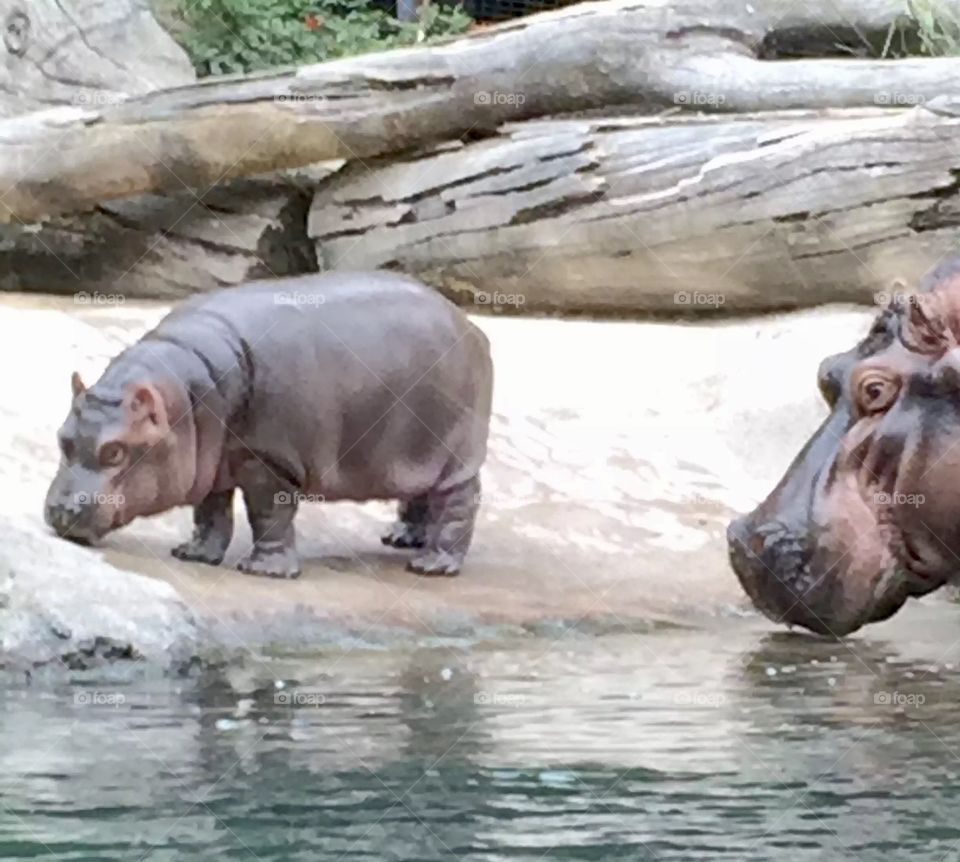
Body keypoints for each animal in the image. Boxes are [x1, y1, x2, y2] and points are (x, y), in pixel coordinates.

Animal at [44, 272, 493, 578]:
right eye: (62, 439)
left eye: (115, 451)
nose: (61, 511)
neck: (183, 398)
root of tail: (469, 325)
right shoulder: (211, 458)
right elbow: (210, 511)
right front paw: (194, 554)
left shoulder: (268, 460)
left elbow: (267, 514)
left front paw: (264, 570)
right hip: (416, 450)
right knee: (420, 492)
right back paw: (401, 539)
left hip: (457, 452)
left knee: (458, 501)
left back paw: (431, 564)